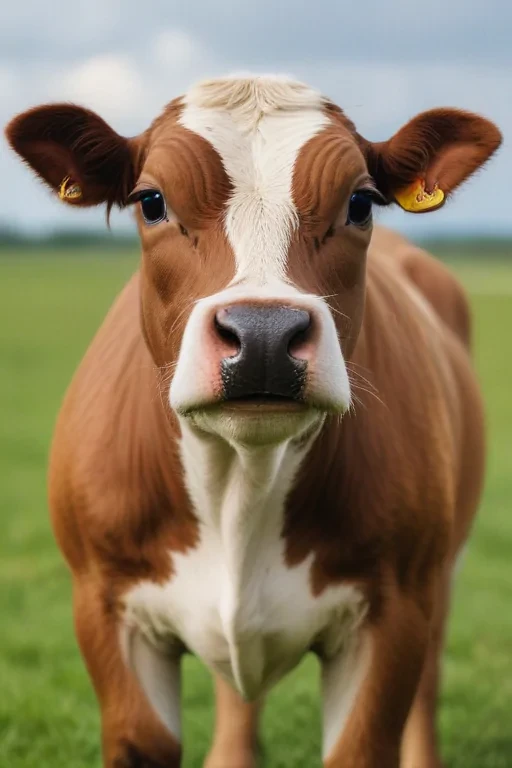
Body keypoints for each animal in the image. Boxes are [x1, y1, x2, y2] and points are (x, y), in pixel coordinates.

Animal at [6, 75, 501, 768]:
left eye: (361, 203)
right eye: (151, 201)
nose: (264, 334)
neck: (243, 482)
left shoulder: (397, 606)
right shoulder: (102, 602)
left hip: (441, 572)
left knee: (428, 681)